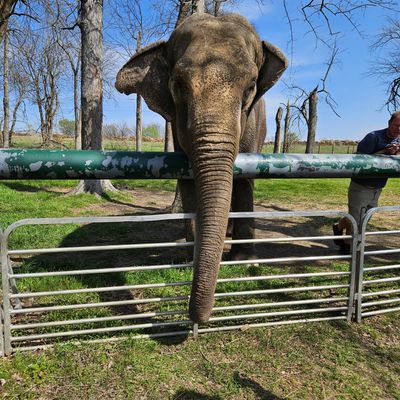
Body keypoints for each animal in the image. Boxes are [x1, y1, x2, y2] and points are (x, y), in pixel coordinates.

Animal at [115, 13, 288, 323]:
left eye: (250, 88)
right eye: (178, 86)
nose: (199, 318)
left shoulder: (252, 123)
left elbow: (244, 180)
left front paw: (246, 263)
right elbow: (188, 181)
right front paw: (189, 259)